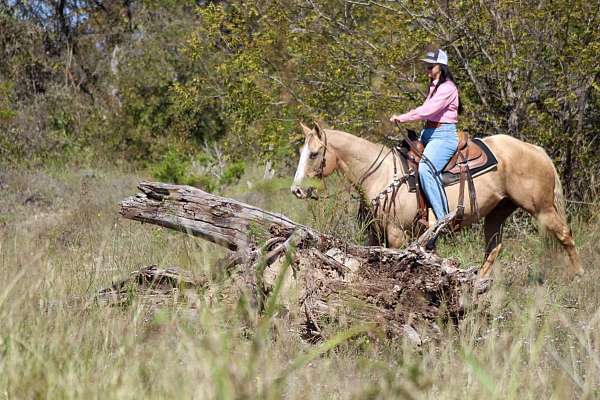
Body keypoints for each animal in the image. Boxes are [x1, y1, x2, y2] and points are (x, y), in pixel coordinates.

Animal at [288, 122, 584, 278]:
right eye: (301, 152)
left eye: (313, 154)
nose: (297, 190)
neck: (382, 175)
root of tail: (536, 149)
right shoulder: (375, 233)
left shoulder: (397, 234)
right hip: (498, 211)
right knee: (494, 248)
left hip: (542, 208)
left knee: (565, 235)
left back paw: (579, 276)